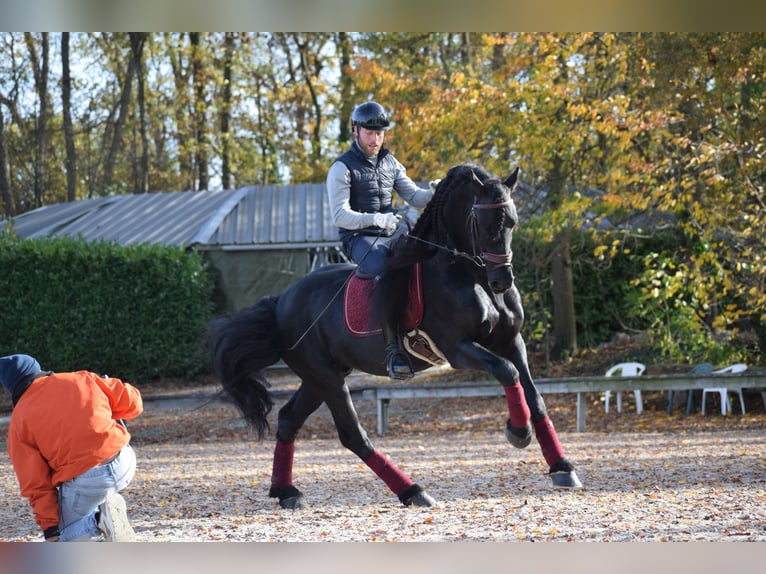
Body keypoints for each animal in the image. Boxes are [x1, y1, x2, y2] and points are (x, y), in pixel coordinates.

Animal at [208, 163, 582, 510]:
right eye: (483, 223)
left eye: (512, 223)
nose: (502, 280)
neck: (469, 274)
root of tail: (281, 302)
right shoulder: (457, 348)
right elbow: (507, 371)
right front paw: (518, 432)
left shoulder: (511, 341)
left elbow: (534, 396)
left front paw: (562, 467)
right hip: (327, 377)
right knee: (353, 436)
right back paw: (413, 490)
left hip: (319, 378)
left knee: (288, 420)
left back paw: (287, 492)